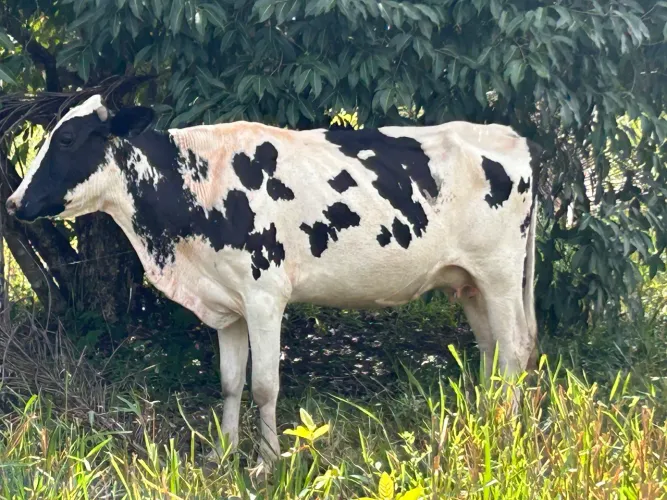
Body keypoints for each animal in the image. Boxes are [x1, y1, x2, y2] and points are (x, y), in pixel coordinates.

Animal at [6, 94, 539, 464]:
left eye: (68, 139)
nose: (13, 202)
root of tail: (511, 137)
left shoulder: (265, 296)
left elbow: (264, 385)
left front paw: (266, 462)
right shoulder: (226, 305)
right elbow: (228, 383)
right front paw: (222, 454)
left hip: (500, 273)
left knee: (514, 349)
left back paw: (505, 435)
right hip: (468, 282)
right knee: (492, 352)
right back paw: (487, 419)